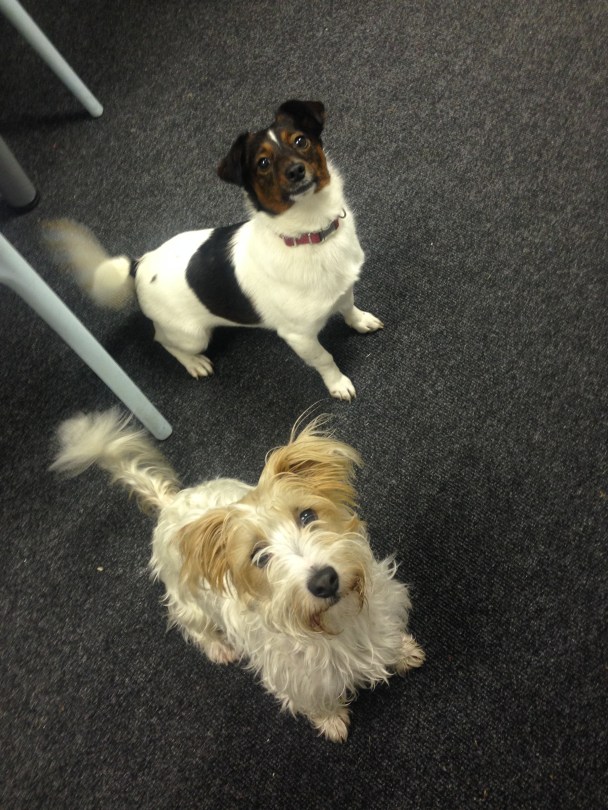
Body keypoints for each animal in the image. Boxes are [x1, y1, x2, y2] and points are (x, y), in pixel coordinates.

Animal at [44, 99, 383, 401]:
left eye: (301, 141)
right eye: (262, 163)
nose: (297, 171)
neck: (310, 234)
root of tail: (139, 264)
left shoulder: (344, 288)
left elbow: (349, 307)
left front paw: (360, 321)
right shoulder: (298, 336)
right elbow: (325, 359)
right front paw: (338, 384)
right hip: (192, 335)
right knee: (163, 339)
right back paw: (194, 363)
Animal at [51, 409, 425, 741]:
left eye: (306, 516)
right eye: (259, 557)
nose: (324, 581)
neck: (337, 622)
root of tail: (169, 503)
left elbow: (390, 641)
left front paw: (404, 653)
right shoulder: (296, 679)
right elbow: (317, 703)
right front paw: (331, 721)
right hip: (188, 603)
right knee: (191, 626)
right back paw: (219, 648)